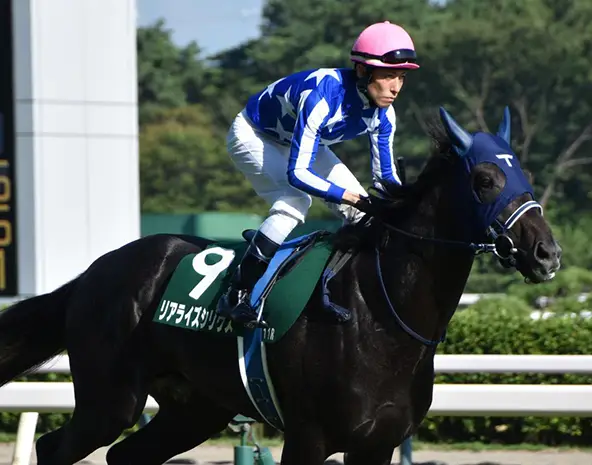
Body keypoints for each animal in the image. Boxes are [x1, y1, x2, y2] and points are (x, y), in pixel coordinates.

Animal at [0, 106, 561, 465]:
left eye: (525, 175)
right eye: (484, 180)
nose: (547, 254)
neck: (380, 314)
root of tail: (94, 273)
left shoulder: (376, 444)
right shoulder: (309, 438)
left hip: (195, 407)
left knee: (125, 456)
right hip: (110, 398)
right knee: (55, 448)